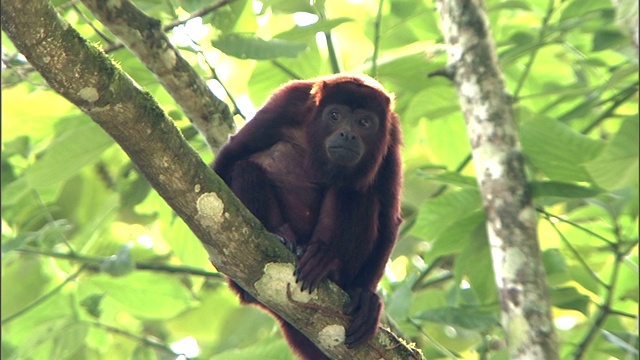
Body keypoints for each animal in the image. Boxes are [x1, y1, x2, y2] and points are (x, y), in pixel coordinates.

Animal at [215, 74, 404, 360]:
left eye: (364, 122)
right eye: (335, 115)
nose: (347, 134)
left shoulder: (390, 135)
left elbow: (388, 220)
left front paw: (364, 295)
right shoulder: (286, 104)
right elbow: (227, 161)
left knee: (357, 192)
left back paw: (327, 262)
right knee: (245, 167)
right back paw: (281, 238)